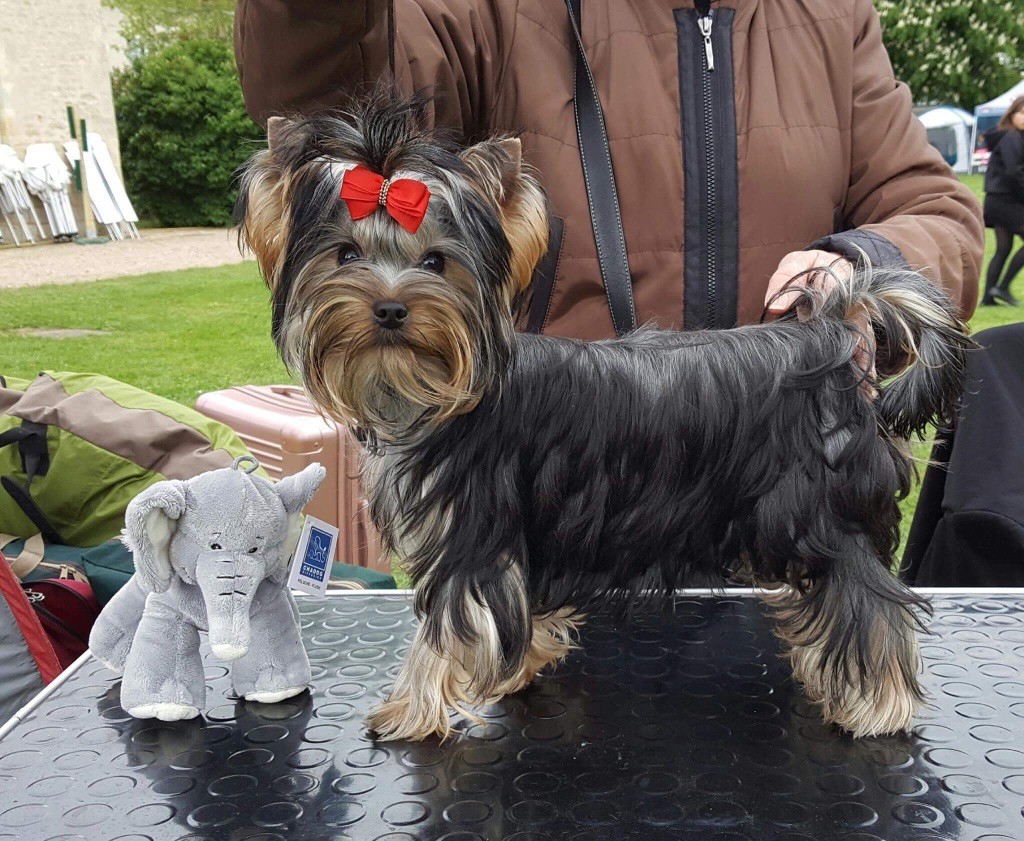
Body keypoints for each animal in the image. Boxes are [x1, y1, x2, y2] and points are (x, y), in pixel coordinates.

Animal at [235, 93, 970, 741]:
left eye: (436, 262)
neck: (436, 390)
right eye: (345, 255)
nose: (389, 308)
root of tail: (830, 332)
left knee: (867, 602)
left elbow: (450, 627)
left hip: (821, 514)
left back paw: (877, 707)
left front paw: (410, 712)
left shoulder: (471, 533)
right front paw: (519, 669)